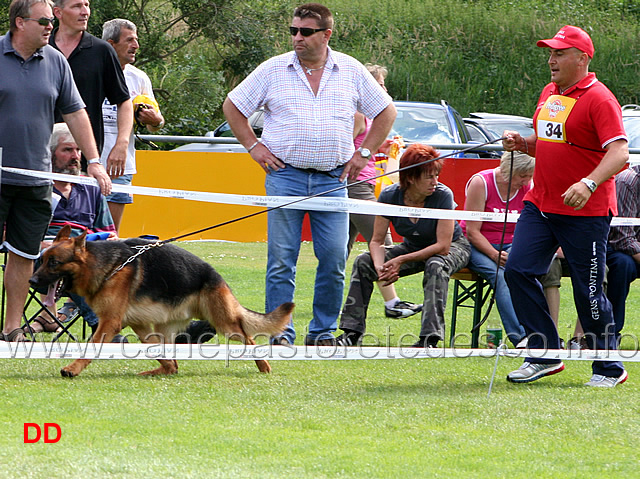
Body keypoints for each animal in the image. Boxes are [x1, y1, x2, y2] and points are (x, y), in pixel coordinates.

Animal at [30, 225, 296, 378]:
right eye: (41, 260)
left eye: (54, 263)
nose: (32, 281)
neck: (106, 267)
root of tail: (216, 276)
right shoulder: (136, 324)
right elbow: (157, 352)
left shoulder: (110, 323)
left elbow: (91, 348)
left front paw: (72, 369)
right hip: (161, 328)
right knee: (171, 360)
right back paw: (159, 371)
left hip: (225, 323)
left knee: (250, 339)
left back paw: (264, 367)